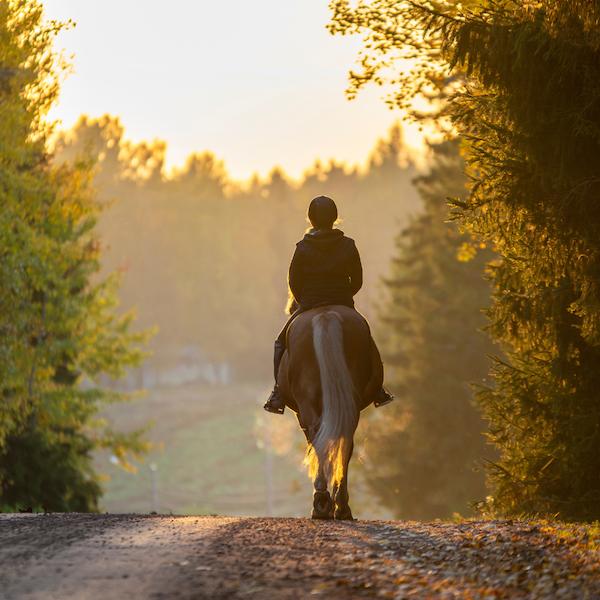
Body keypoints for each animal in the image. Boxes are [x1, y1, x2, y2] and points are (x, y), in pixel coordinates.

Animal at [278, 304, 384, 520]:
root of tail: (325, 315)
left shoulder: (300, 414)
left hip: (308, 400)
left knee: (321, 438)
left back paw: (325, 504)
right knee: (343, 440)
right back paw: (337, 504)